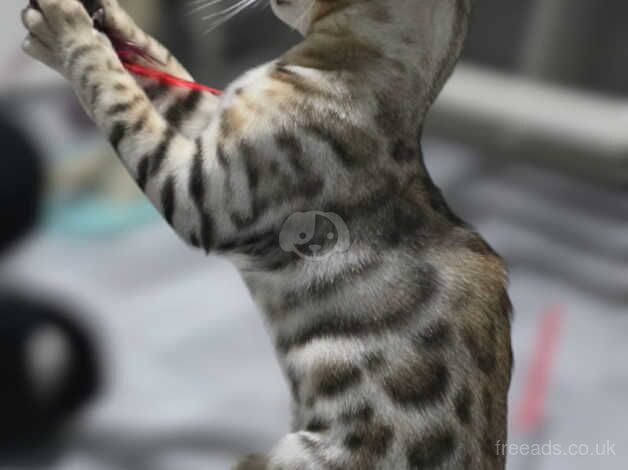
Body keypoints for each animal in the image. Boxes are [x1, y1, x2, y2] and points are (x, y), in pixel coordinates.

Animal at [20, 0, 510, 468]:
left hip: (298, 454)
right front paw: (109, 21)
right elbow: (165, 73)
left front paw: (65, 31)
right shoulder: (212, 125)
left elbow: (118, 95)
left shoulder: (203, 194)